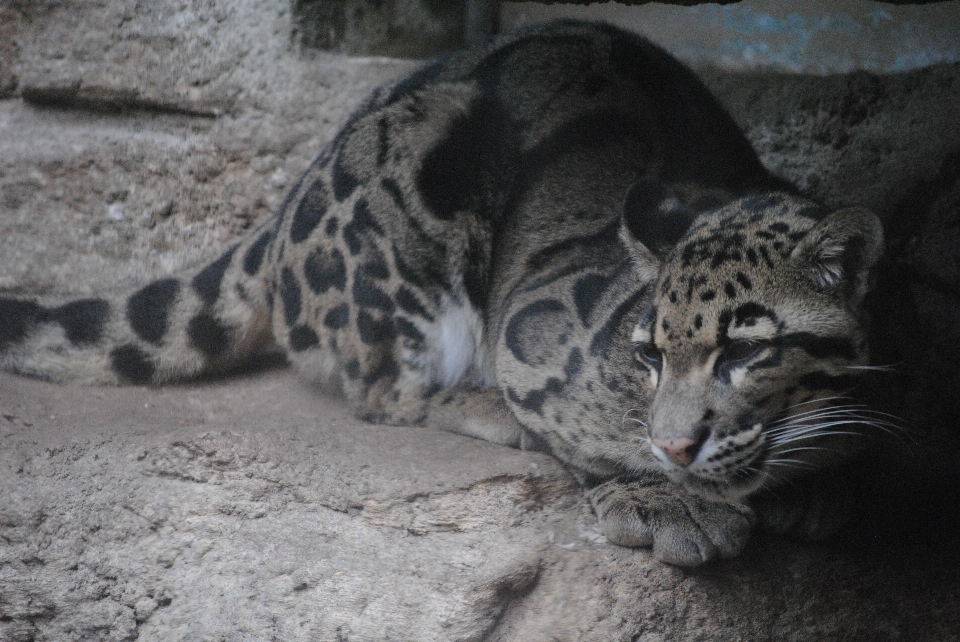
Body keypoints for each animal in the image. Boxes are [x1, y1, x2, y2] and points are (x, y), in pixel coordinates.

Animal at [0, 20, 884, 564]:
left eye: (743, 351)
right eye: (650, 356)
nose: (677, 449)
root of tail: (285, 207)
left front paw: (822, 481)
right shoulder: (535, 327)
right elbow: (587, 433)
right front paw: (667, 500)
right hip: (422, 182)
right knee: (379, 391)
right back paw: (483, 407)